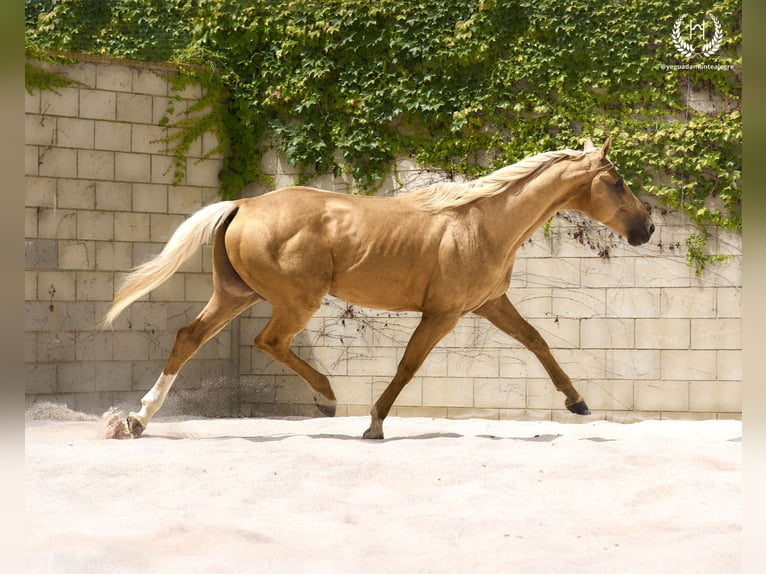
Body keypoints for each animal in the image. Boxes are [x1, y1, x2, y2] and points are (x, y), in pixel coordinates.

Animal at [102, 138, 656, 440]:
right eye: (617, 182)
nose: (647, 229)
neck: (478, 221)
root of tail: (242, 204)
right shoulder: (444, 313)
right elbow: (408, 366)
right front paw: (373, 424)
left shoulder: (489, 305)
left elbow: (538, 341)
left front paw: (578, 403)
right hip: (294, 300)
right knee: (269, 341)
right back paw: (326, 399)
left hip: (236, 295)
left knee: (188, 338)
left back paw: (138, 419)